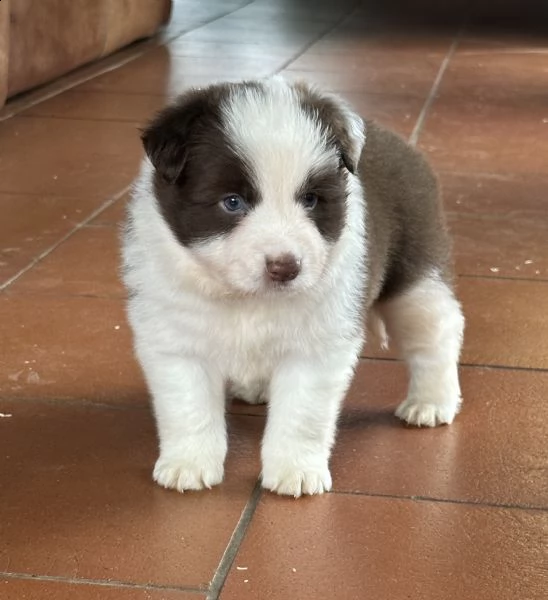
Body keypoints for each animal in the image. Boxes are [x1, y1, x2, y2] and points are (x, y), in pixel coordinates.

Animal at [122, 76, 464, 496]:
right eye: (232, 202)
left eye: (312, 199)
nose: (285, 267)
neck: (245, 299)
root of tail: (397, 140)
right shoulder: (174, 337)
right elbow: (188, 407)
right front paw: (188, 464)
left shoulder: (317, 346)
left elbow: (301, 414)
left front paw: (295, 471)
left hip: (416, 277)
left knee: (436, 335)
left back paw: (431, 402)